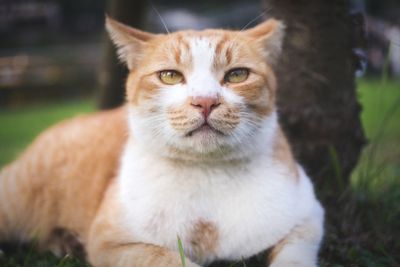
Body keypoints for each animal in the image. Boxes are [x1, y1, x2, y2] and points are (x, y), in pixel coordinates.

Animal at [0, 16, 324, 267]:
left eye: (237, 75)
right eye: (169, 76)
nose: (205, 101)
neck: (206, 174)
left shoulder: (308, 216)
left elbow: (294, 256)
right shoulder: (112, 244)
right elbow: (167, 258)